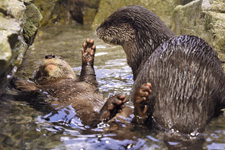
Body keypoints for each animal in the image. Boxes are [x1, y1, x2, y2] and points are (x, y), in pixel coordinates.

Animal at [11, 39, 142, 127]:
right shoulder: (41, 90)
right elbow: (34, 88)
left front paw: (88, 52)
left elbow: (88, 74)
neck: (60, 82)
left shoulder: (87, 81)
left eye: (60, 58)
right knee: (93, 122)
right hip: (83, 113)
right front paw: (16, 80)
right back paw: (112, 107)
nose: (49, 55)